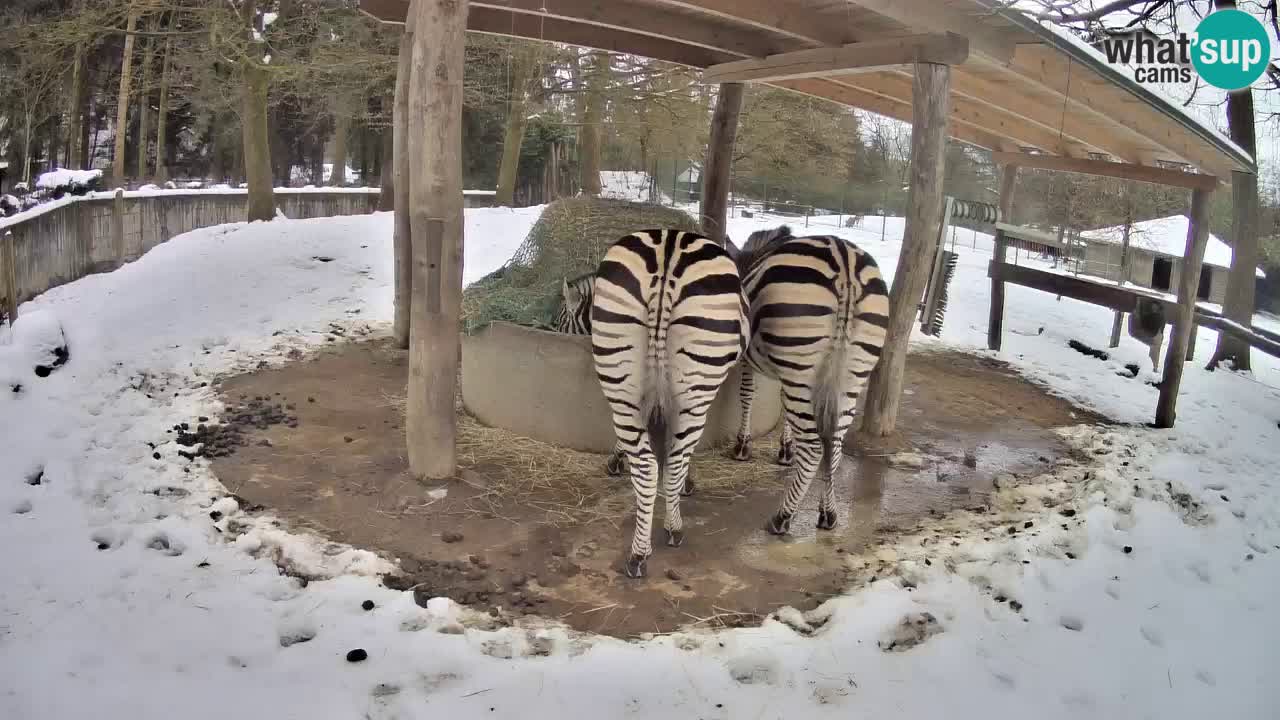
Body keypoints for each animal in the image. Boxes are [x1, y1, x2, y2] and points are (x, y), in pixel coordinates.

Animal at [560, 229, 749, 578]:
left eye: (562, 318)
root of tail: (667, 253)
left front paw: (617, 460)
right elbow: (678, 453)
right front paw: (685, 484)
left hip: (621, 379)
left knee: (647, 466)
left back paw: (639, 553)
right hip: (696, 385)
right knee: (671, 461)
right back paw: (671, 530)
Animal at [726, 225, 889, 535]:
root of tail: (846, 263)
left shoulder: (750, 360)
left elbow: (746, 394)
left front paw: (742, 446)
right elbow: (781, 408)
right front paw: (786, 449)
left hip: (801, 365)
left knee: (815, 448)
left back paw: (782, 517)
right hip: (848, 376)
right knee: (834, 447)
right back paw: (829, 513)